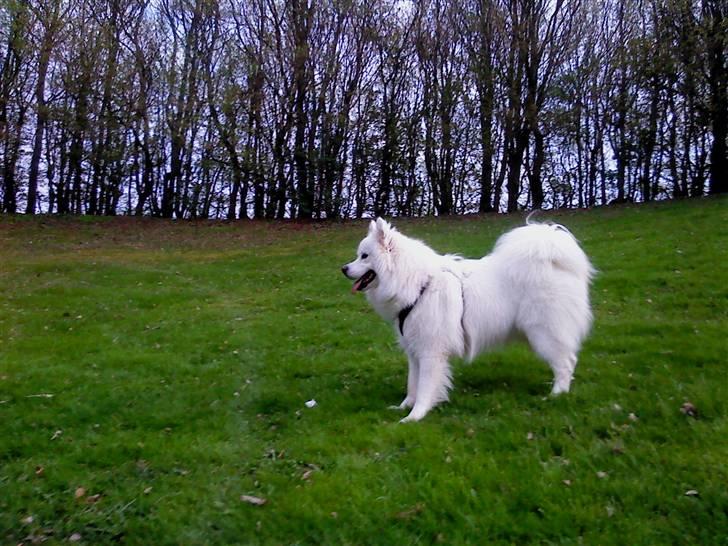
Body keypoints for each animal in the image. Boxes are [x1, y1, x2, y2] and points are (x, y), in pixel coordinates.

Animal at [344, 216, 596, 420]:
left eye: (364, 256)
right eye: (357, 255)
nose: (343, 268)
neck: (418, 285)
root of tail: (556, 262)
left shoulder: (431, 351)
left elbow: (425, 387)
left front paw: (414, 417)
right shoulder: (415, 351)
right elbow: (412, 384)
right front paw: (404, 407)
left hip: (544, 333)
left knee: (565, 363)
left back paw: (556, 395)